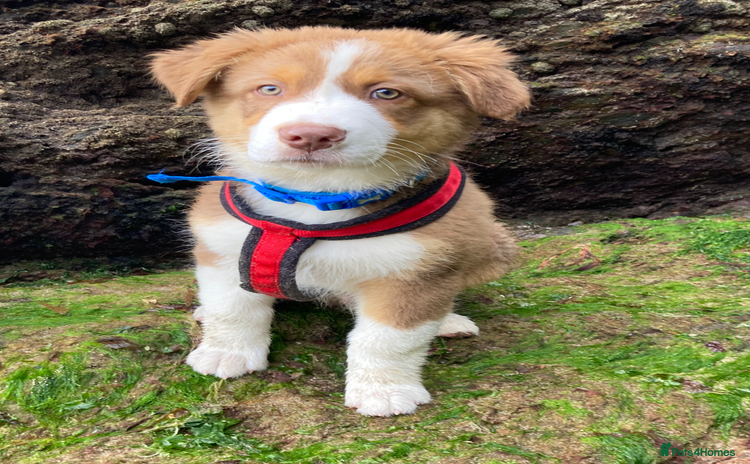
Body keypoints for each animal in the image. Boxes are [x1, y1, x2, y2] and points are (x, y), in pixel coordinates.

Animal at [151, 26, 529, 417]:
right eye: (270, 89)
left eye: (386, 93)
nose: (310, 134)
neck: (314, 199)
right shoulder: (222, 248)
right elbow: (231, 309)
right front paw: (226, 353)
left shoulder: (415, 270)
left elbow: (389, 339)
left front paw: (385, 391)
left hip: (493, 245)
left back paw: (448, 321)